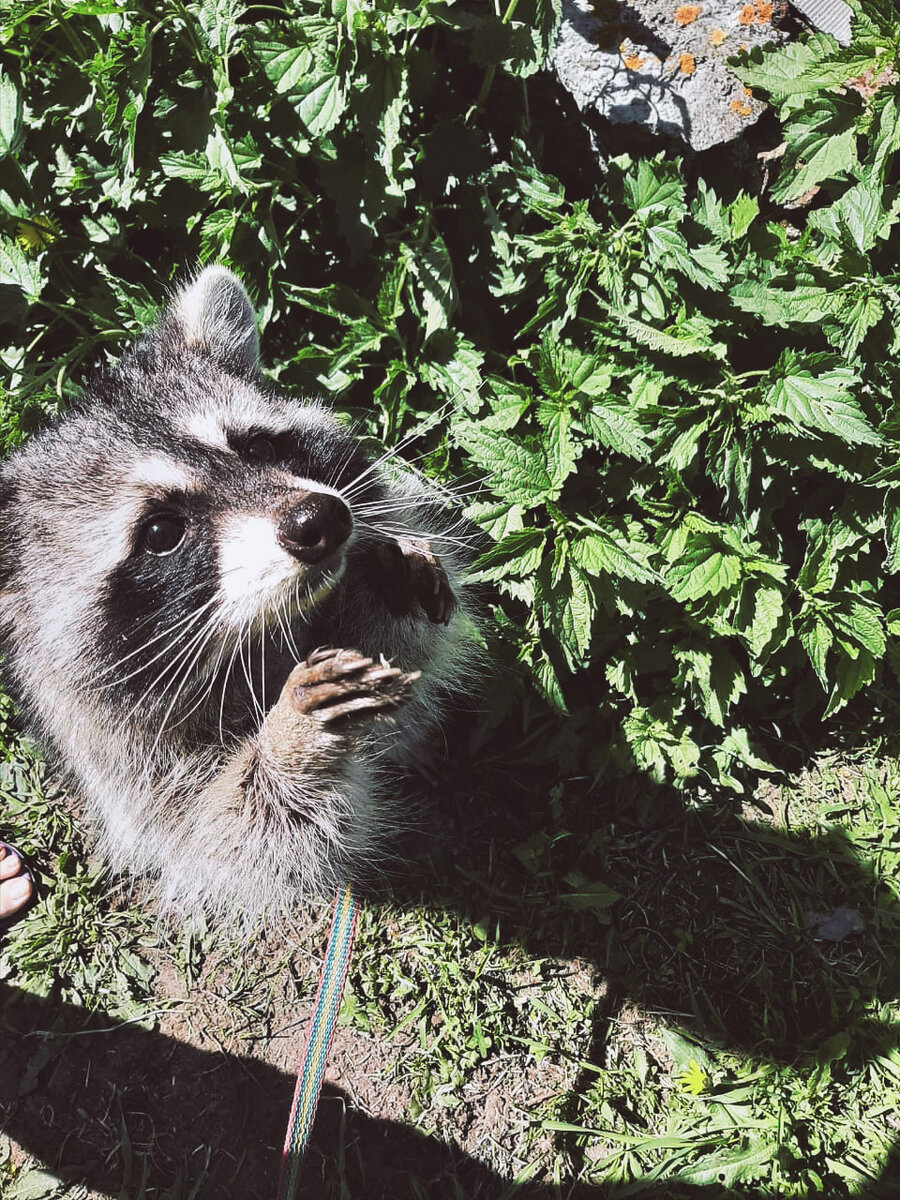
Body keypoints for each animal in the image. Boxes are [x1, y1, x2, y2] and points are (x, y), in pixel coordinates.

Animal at [0, 267, 480, 921]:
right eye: (161, 533)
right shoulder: (119, 755)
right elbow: (234, 838)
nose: (321, 520)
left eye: (257, 448)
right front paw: (287, 744)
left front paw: (381, 601)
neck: (263, 636)